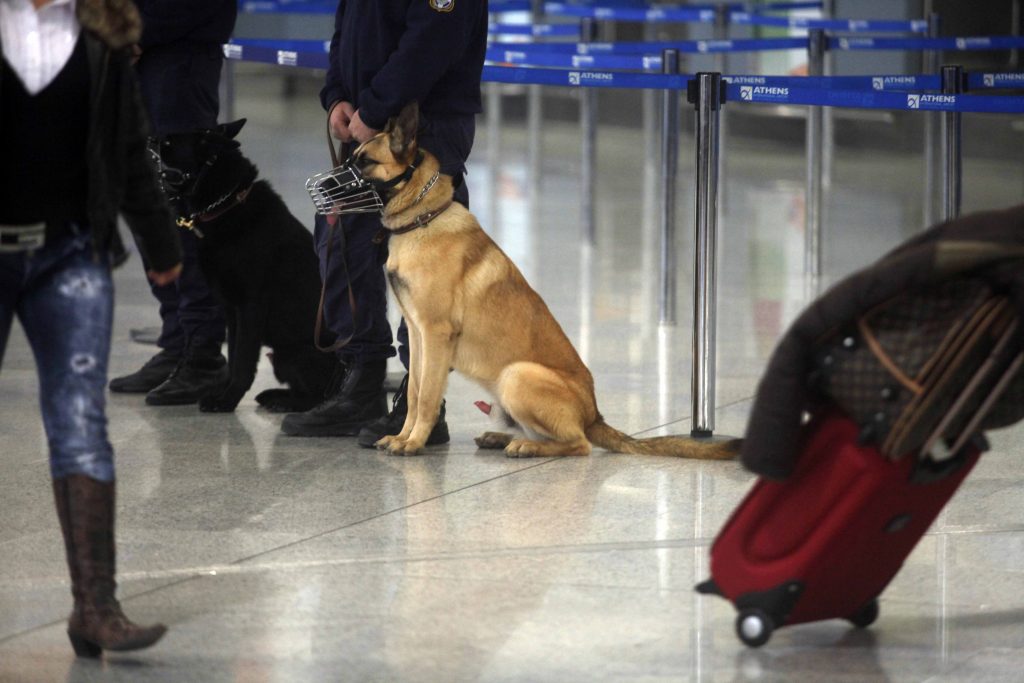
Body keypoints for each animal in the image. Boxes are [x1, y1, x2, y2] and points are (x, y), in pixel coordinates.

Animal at [153, 118, 333, 411]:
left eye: (168, 142)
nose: (149, 138)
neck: (226, 204)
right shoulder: (231, 309)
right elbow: (235, 353)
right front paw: (223, 393)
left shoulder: (251, 306)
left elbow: (244, 361)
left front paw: (227, 400)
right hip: (280, 357)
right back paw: (275, 396)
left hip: (295, 353)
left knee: (318, 396)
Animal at [356, 101, 741, 462]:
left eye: (364, 163)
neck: (424, 219)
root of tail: (593, 415)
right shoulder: (418, 334)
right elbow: (414, 392)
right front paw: (403, 436)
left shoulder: (435, 335)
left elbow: (426, 398)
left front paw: (414, 442)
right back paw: (502, 437)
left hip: (517, 375)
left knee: (578, 444)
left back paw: (526, 447)